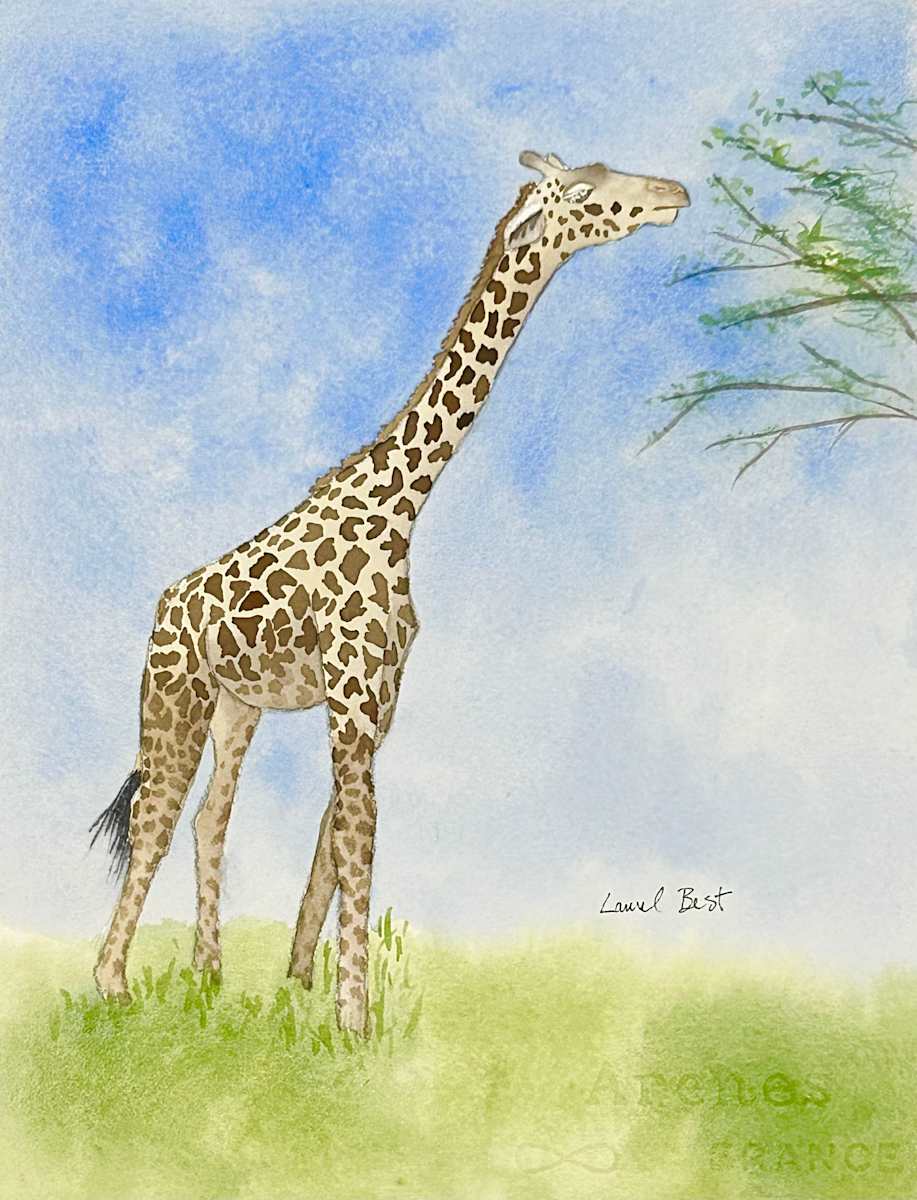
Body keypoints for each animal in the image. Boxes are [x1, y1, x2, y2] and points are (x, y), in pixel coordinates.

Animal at [91, 150, 689, 1033]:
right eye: (586, 188)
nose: (673, 193)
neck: (400, 502)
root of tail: (165, 606)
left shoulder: (377, 699)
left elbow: (333, 841)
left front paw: (302, 992)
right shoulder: (350, 697)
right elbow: (357, 842)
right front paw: (354, 1024)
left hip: (238, 705)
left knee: (207, 816)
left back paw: (207, 977)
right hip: (173, 692)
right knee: (154, 814)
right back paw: (112, 985)